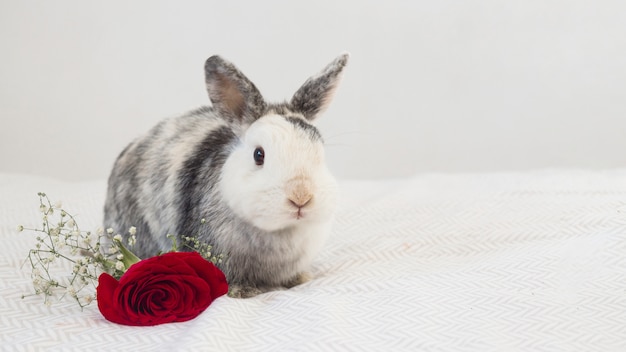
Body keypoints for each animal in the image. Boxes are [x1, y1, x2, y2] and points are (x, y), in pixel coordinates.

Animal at [102, 53, 346, 296]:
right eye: (259, 155)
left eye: (320, 150)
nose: (301, 197)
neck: (281, 230)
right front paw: (243, 291)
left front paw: (301, 278)